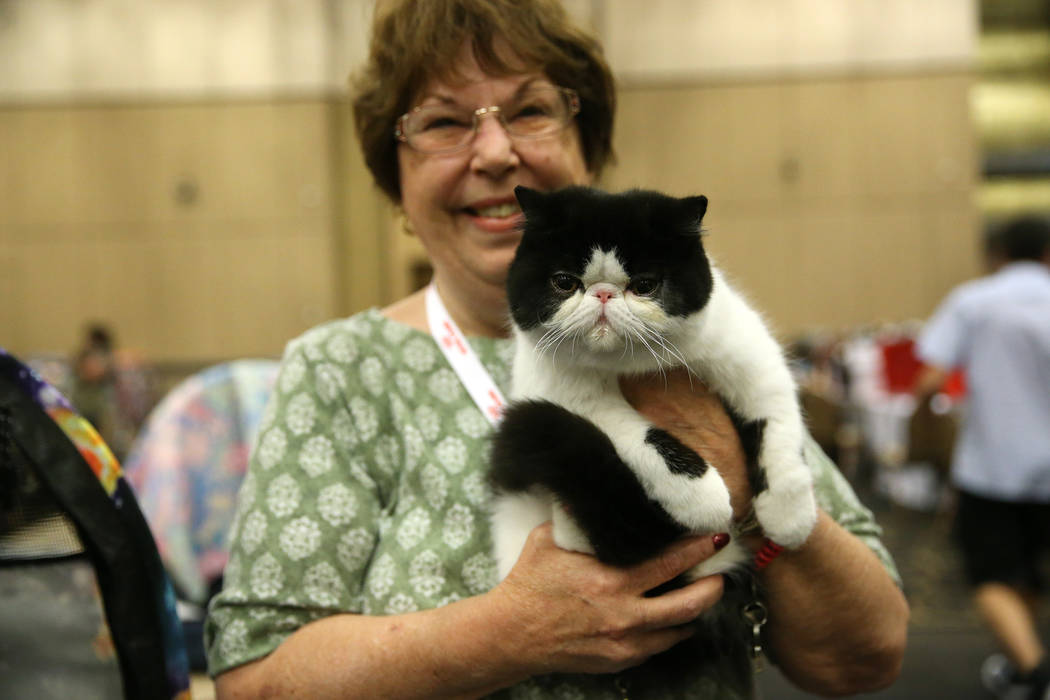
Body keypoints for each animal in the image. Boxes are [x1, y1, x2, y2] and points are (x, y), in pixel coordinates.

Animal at [487, 184, 814, 587]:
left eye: (644, 285)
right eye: (564, 282)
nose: (604, 294)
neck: (629, 364)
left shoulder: (751, 359)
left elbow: (777, 423)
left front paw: (790, 516)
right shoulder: (565, 393)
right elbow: (640, 436)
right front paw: (702, 497)